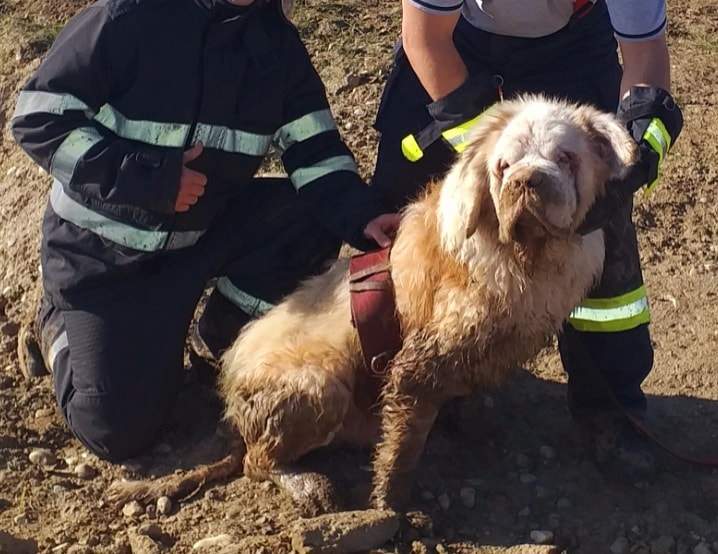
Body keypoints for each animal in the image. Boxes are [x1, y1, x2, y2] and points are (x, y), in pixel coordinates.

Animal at [109, 95, 640, 512]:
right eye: (503, 167)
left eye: (566, 158)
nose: (527, 180)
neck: (527, 258)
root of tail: (229, 390)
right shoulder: (418, 363)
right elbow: (402, 447)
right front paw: (392, 508)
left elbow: (472, 399)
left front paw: (478, 430)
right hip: (319, 383)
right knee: (258, 462)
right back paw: (312, 489)